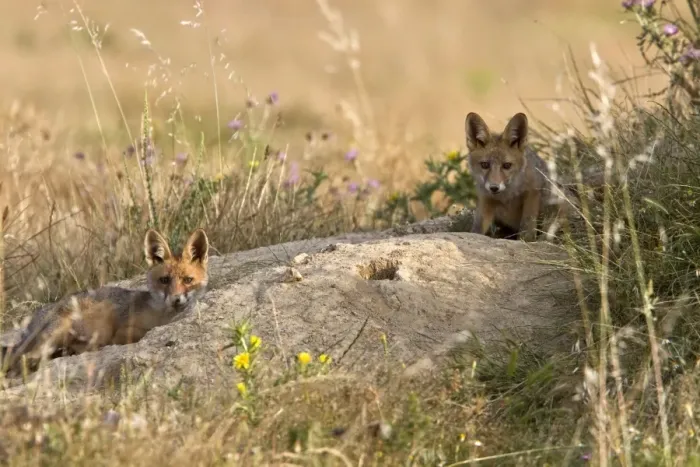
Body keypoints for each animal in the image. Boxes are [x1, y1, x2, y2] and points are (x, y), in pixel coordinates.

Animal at [1, 228, 209, 375]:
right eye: (164, 280)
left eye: (188, 280)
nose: (176, 299)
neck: (162, 316)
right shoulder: (124, 328)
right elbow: (137, 332)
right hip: (67, 333)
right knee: (21, 360)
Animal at [465, 111, 569, 242]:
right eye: (485, 165)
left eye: (507, 165)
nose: (494, 187)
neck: (507, 196)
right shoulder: (486, 200)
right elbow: (477, 230)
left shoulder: (532, 192)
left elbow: (527, 225)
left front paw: (526, 241)